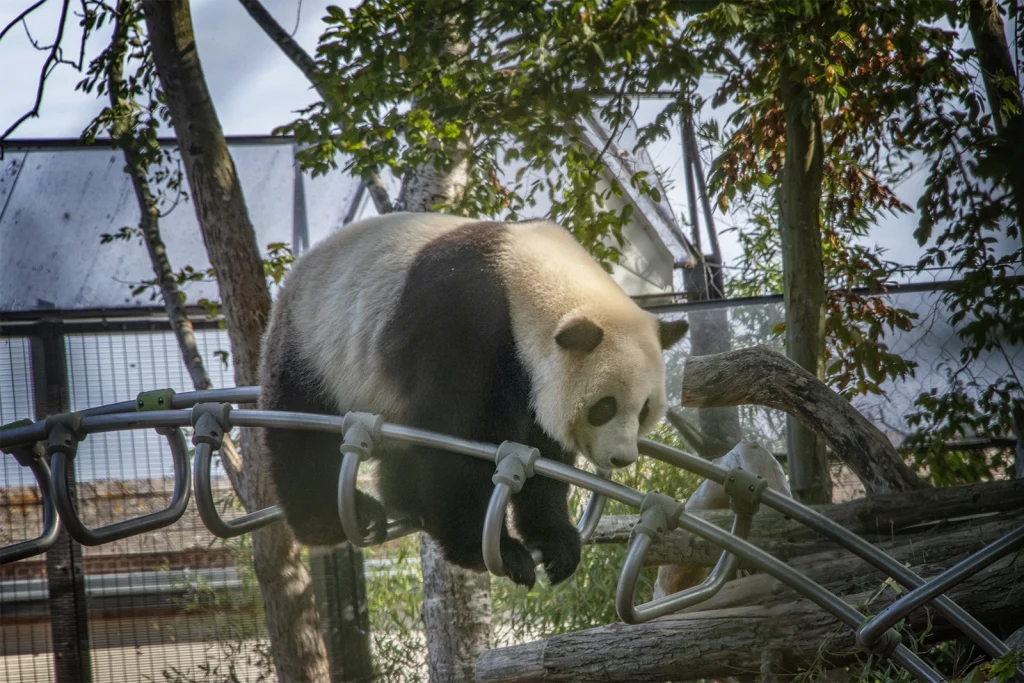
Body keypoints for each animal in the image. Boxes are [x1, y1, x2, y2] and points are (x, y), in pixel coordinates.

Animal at [257, 212, 688, 589]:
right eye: (605, 407)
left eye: (645, 410)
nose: (622, 458)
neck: (523, 280)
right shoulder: (462, 321)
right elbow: (456, 442)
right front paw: (493, 551)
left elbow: (544, 457)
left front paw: (556, 544)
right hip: (316, 347)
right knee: (303, 437)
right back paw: (339, 519)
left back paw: (406, 504)